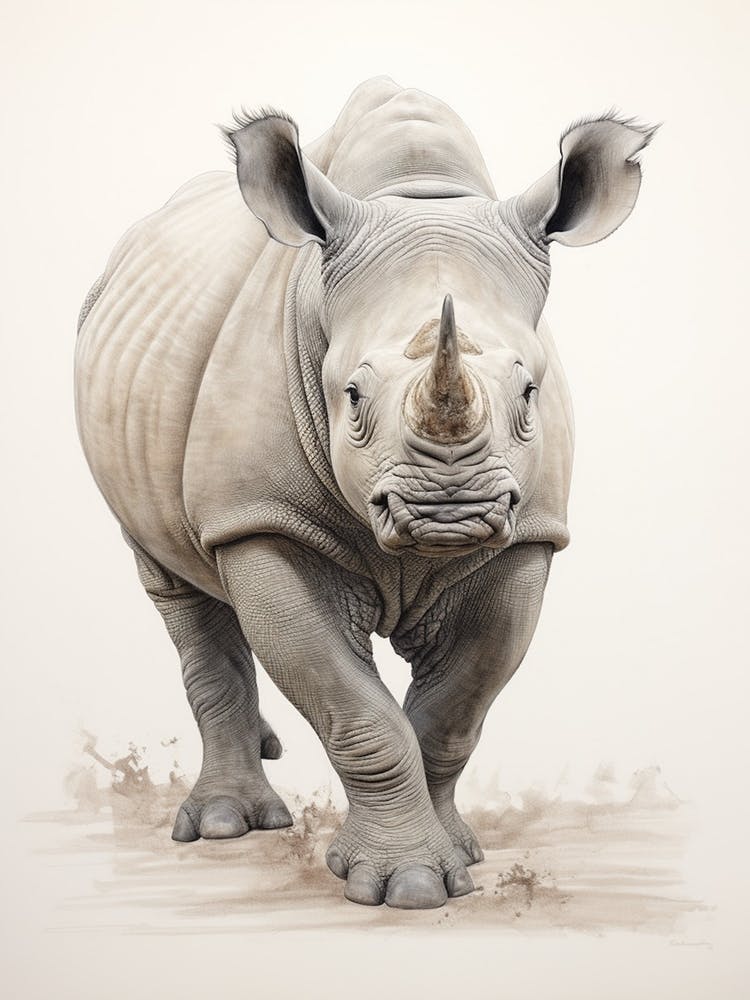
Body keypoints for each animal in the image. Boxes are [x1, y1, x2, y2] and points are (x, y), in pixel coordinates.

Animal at [75, 77, 655, 909]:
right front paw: (405, 886)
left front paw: (459, 859)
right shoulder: (264, 521)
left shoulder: (529, 534)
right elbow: (356, 711)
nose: (451, 512)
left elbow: (454, 711)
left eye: (529, 393)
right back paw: (223, 828)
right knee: (176, 585)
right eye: (350, 395)